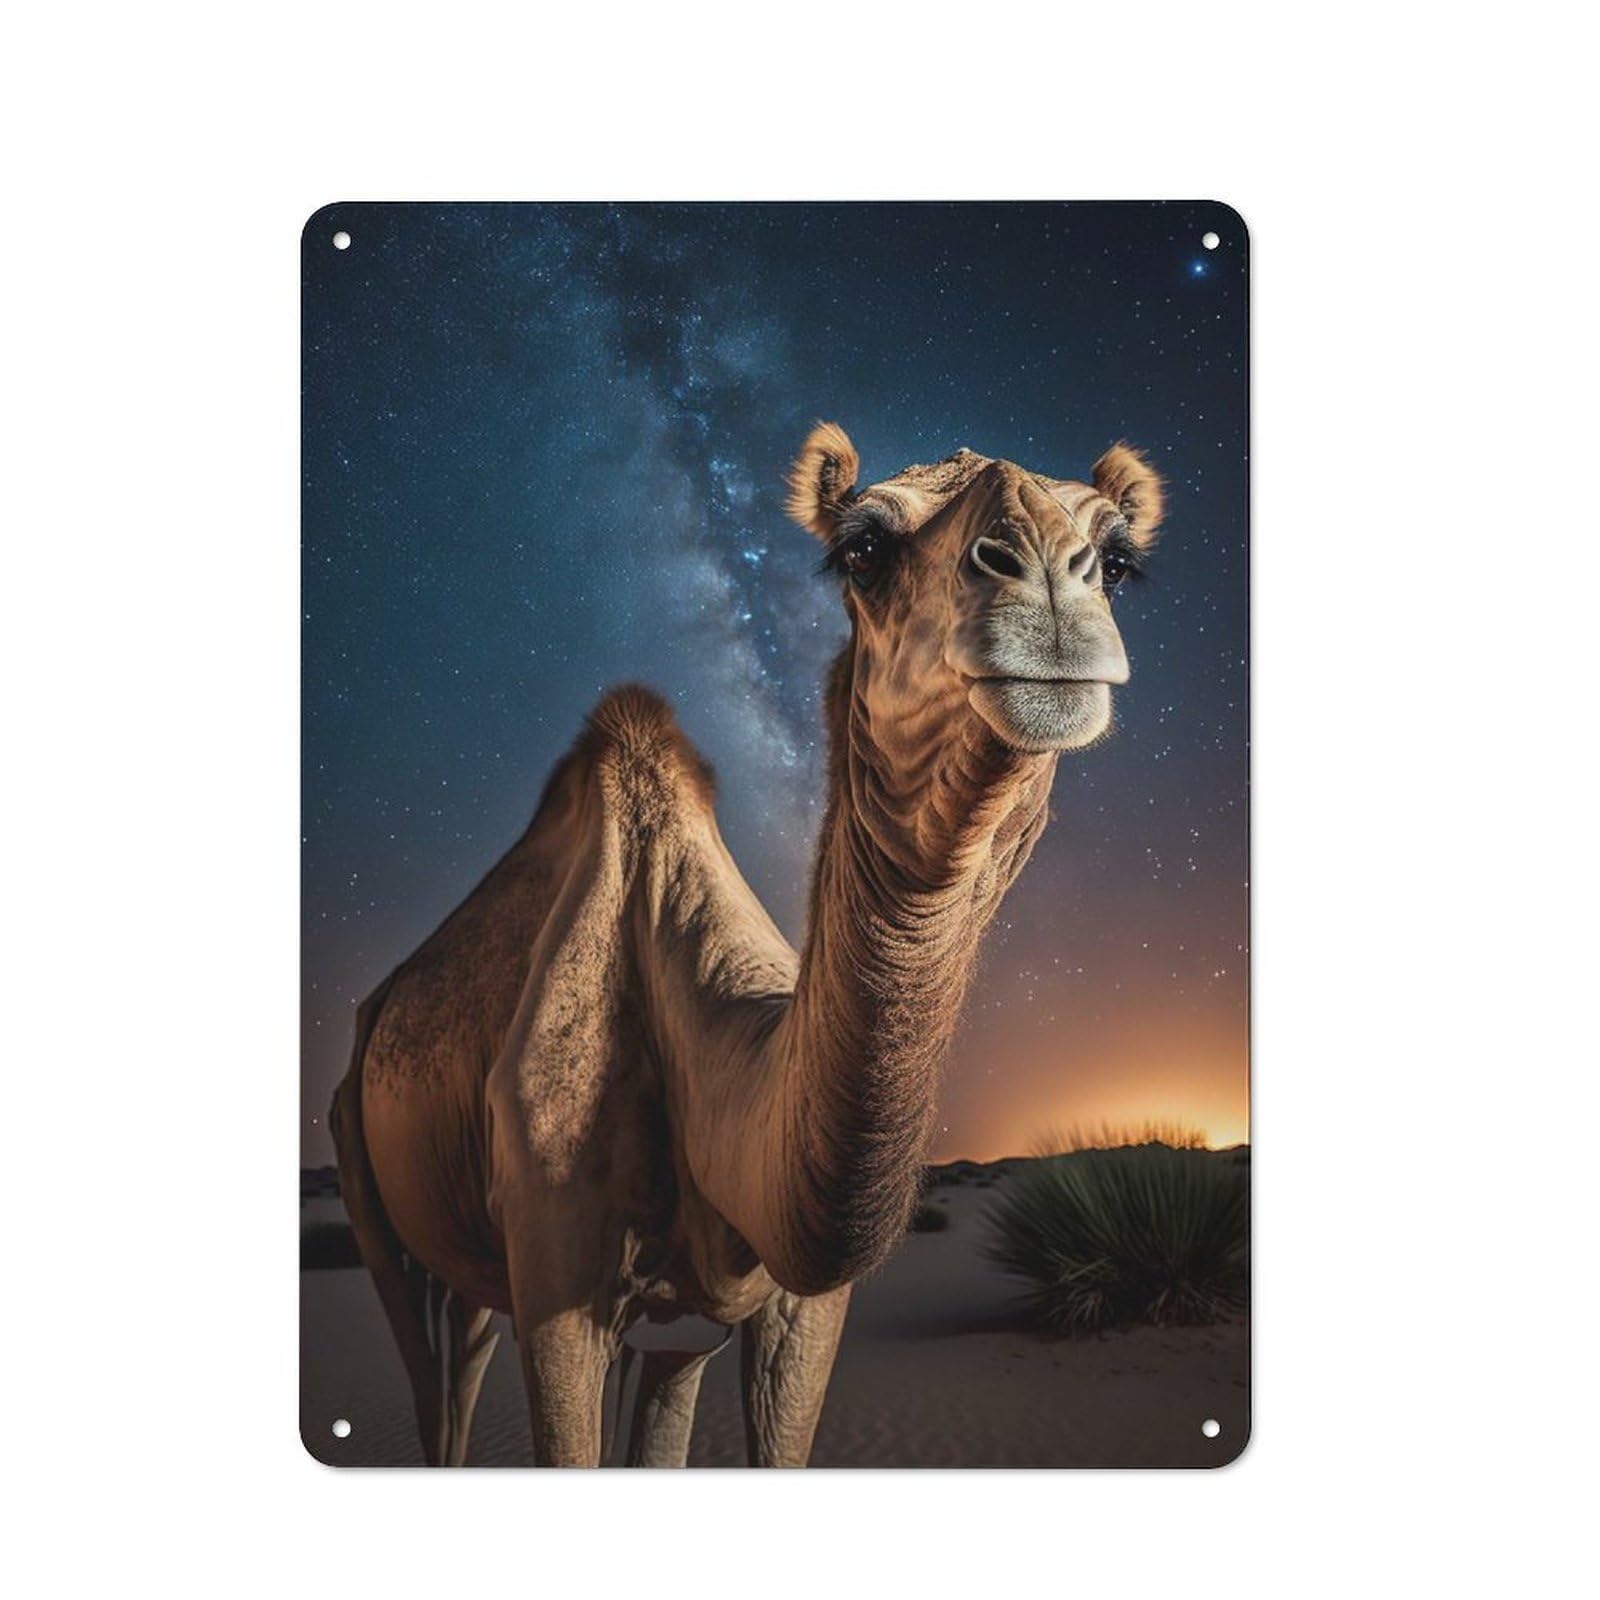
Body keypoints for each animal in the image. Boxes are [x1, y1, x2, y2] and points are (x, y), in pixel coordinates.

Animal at [329, 424, 1165, 1466]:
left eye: (1120, 562)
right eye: (862, 549)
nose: (1050, 588)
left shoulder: (776, 1312)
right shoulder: (554, 1281)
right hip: (368, 1183)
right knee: (439, 1374)